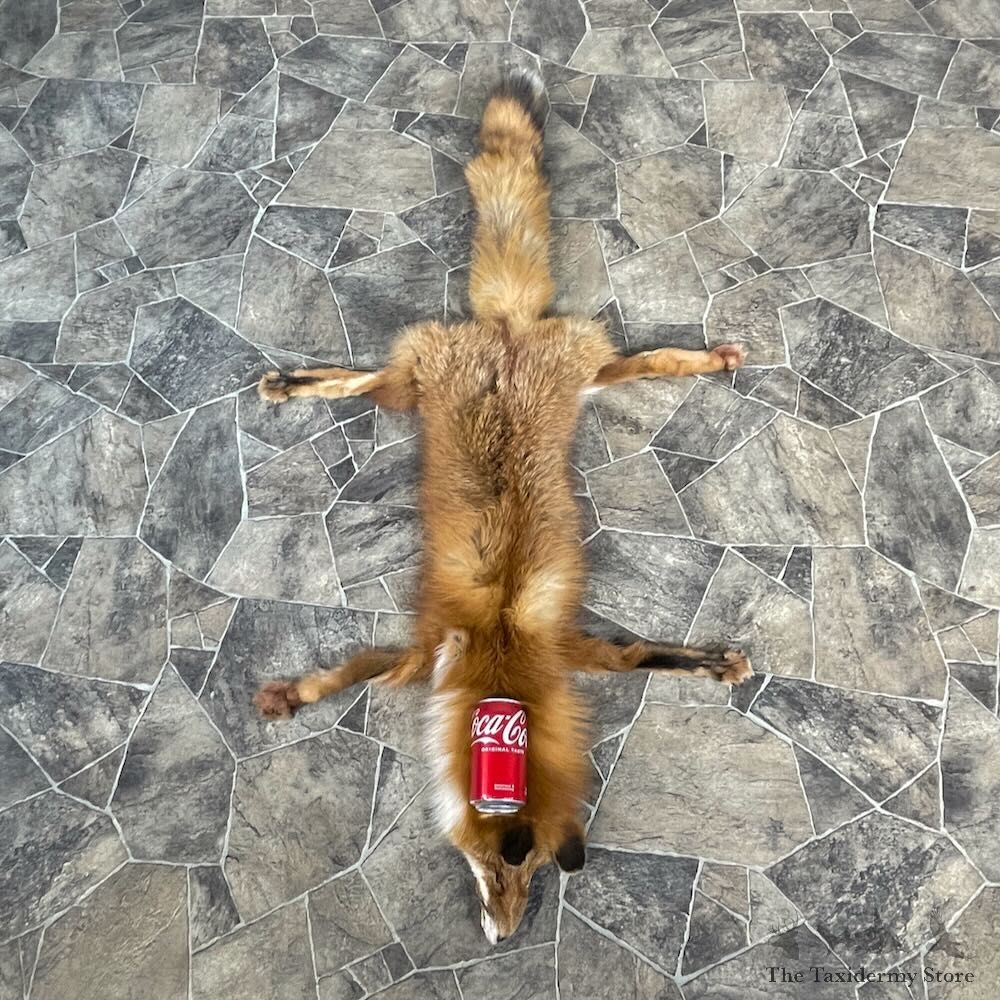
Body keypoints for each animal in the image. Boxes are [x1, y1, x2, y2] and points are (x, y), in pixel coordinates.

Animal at [254, 71, 752, 944]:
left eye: (536, 876)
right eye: (499, 870)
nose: (507, 936)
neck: (502, 656)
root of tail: (509, 330)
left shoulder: (571, 650)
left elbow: (642, 655)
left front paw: (709, 662)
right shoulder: (425, 649)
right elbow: (346, 674)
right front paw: (295, 695)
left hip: (590, 373)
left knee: (652, 361)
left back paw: (704, 359)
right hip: (414, 386)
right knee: (360, 382)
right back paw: (293, 384)